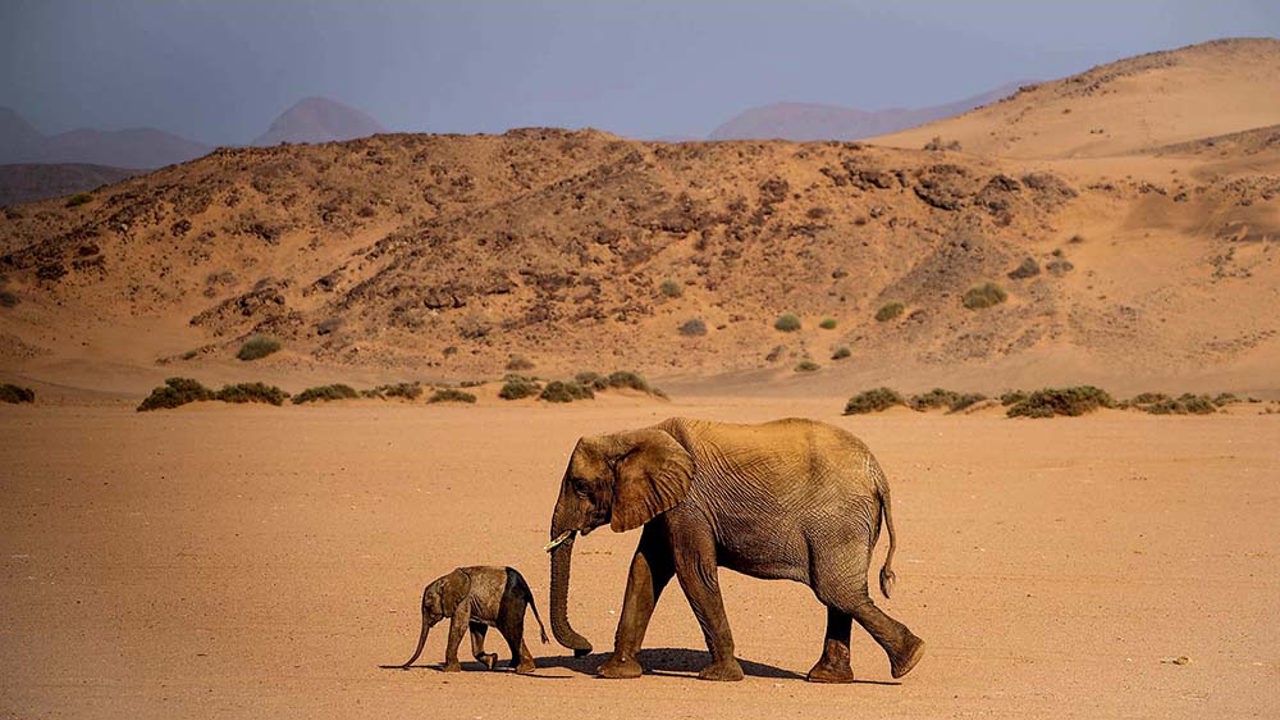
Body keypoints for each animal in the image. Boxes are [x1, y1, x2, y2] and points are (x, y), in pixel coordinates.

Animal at [395, 565, 548, 674]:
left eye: (428, 606)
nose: (404, 667)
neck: (447, 580)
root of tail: (527, 589)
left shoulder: (464, 600)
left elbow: (459, 626)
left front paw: (448, 670)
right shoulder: (473, 602)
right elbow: (477, 629)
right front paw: (492, 661)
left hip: (512, 602)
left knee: (511, 630)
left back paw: (524, 669)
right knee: (510, 632)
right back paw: (514, 666)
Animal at [545, 417, 924, 683]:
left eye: (580, 486)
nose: (582, 649)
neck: (636, 434)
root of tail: (877, 473)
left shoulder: (690, 504)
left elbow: (692, 571)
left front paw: (720, 676)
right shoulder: (666, 501)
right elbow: (645, 570)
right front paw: (615, 673)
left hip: (838, 520)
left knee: (836, 591)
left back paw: (910, 660)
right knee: (839, 595)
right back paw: (830, 677)